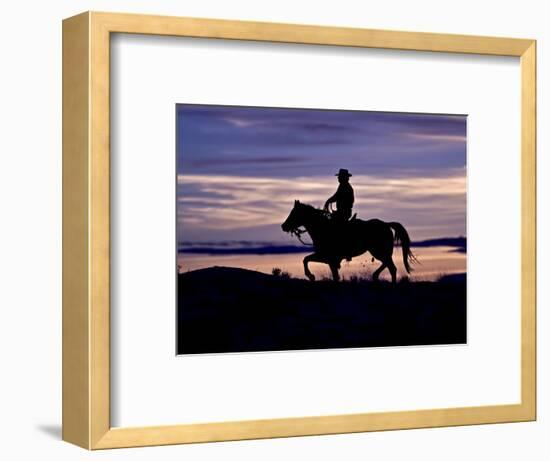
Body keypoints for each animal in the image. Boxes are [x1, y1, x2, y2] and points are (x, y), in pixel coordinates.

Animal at [282, 199, 416, 282]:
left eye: (294, 213)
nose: (283, 226)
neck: (323, 228)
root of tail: (386, 224)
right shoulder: (328, 259)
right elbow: (308, 260)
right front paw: (311, 276)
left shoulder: (327, 257)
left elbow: (306, 260)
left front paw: (310, 276)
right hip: (380, 252)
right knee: (388, 265)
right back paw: (375, 275)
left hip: (379, 251)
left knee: (391, 268)